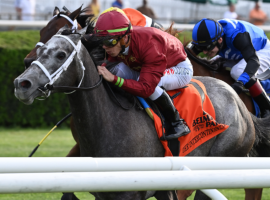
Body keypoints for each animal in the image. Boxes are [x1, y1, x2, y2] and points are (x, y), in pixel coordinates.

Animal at [13, 27, 270, 200]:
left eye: (61, 54)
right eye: (42, 48)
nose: (22, 83)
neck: (110, 123)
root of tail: (241, 105)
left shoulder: (131, 193)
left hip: (222, 158)